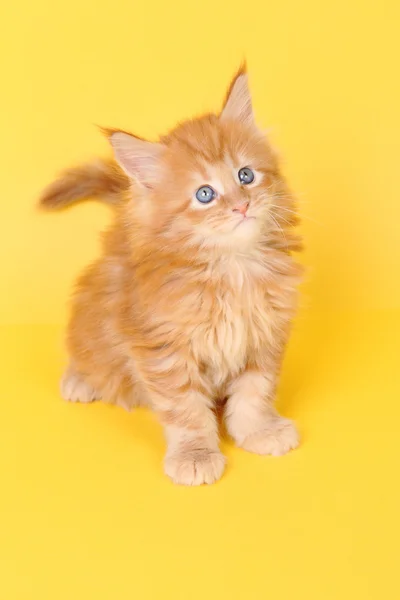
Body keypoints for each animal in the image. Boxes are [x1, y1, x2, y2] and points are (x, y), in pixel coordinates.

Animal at [41, 67, 304, 488]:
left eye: (245, 175)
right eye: (204, 194)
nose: (242, 206)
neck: (231, 268)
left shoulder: (264, 333)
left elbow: (255, 391)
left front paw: (259, 431)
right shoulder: (162, 349)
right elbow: (186, 410)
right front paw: (195, 455)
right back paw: (81, 379)